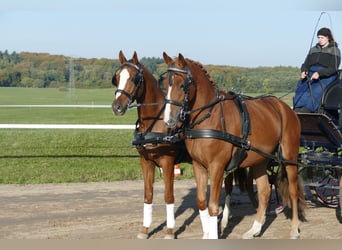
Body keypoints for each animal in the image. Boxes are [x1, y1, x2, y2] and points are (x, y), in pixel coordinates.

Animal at [162, 51, 306, 239]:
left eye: (181, 85)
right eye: (165, 85)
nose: (169, 121)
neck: (210, 117)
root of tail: (284, 108)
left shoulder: (217, 166)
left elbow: (213, 206)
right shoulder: (198, 165)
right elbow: (201, 202)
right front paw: (207, 233)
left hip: (289, 156)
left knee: (293, 190)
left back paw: (294, 228)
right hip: (260, 159)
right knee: (264, 191)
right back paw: (255, 229)